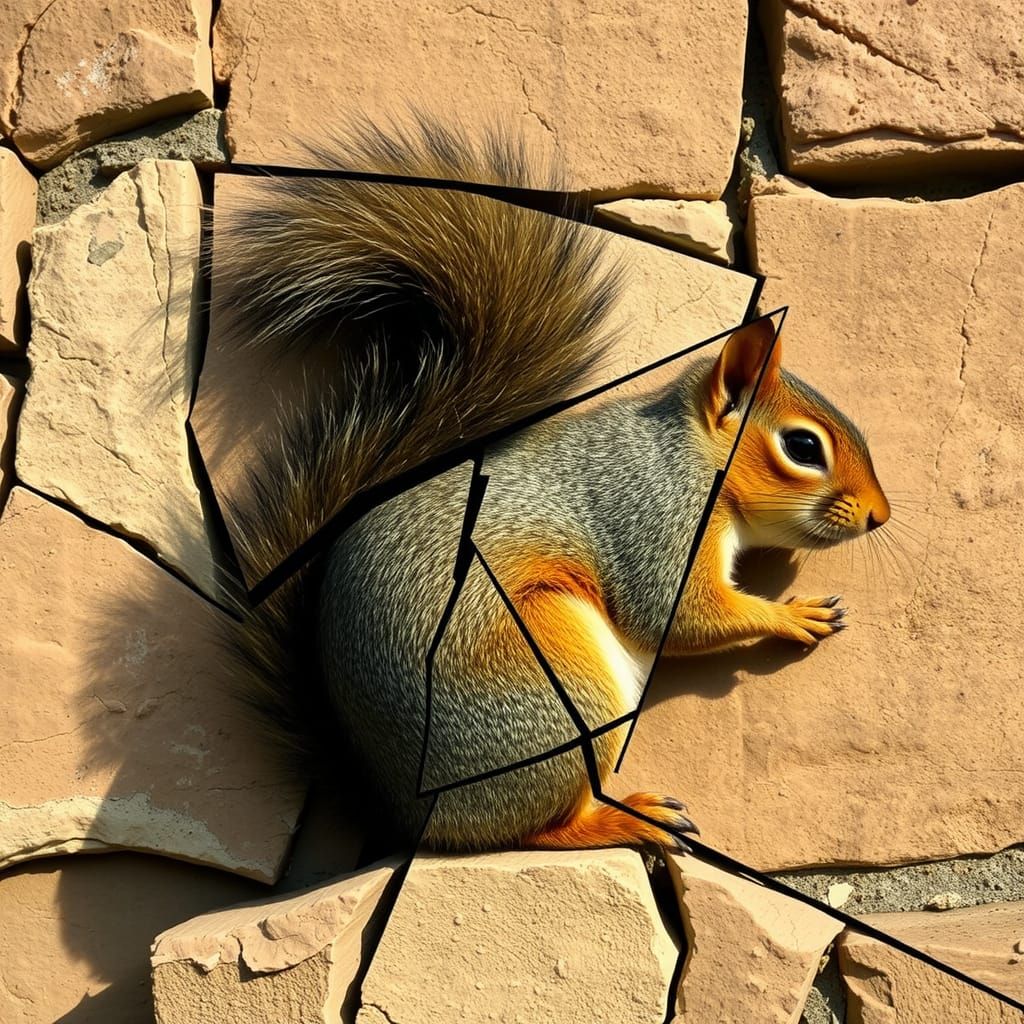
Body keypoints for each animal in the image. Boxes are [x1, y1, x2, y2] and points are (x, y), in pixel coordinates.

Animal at [217, 119, 891, 855]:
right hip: (553, 681)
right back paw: (629, 818)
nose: (881, 515)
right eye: (803, 447)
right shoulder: (655, 517)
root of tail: (398, 811)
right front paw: (792, 616)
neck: (687, 453)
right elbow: (677, 613)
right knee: (537, 828)